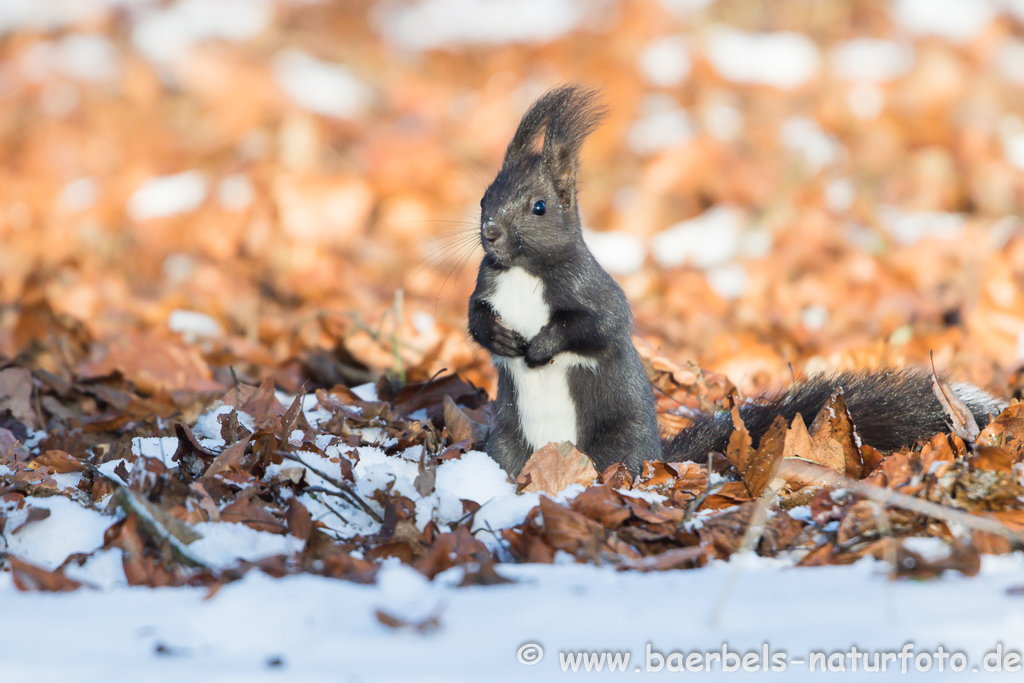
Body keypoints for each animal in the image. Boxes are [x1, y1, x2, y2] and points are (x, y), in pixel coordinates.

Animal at [466, 85, 1007, 479]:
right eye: (484, 196)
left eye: (538, 207)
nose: (489, 231)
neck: (523, 270)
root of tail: (657, 456)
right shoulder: (486, 287)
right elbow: (474, 319)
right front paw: (502, 338)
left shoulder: (591, 289)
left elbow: (597, 324)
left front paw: (540, 345)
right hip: (506, 440)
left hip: (615, 440)